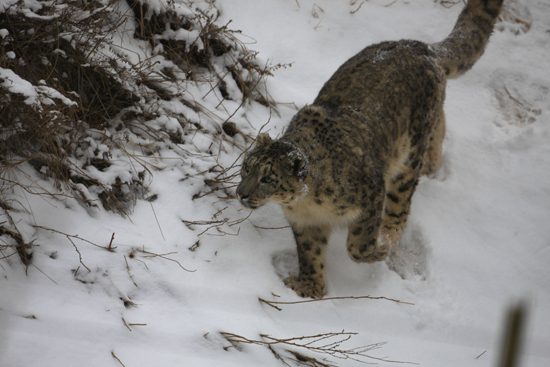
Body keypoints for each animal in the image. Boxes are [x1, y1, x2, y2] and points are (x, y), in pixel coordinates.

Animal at [236, 0, 504, 300]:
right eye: (246, 167)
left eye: (267, 178)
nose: (241, 193)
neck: (307, 204)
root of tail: (423, 47)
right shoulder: (304, 223)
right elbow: (310, 254)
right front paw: (309, 287)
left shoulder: (371, 195)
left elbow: (358, 244)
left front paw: (377, 250)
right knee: (441, 122)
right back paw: (433, 162)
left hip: (405, 162)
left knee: (400, 206)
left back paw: (390, 234)